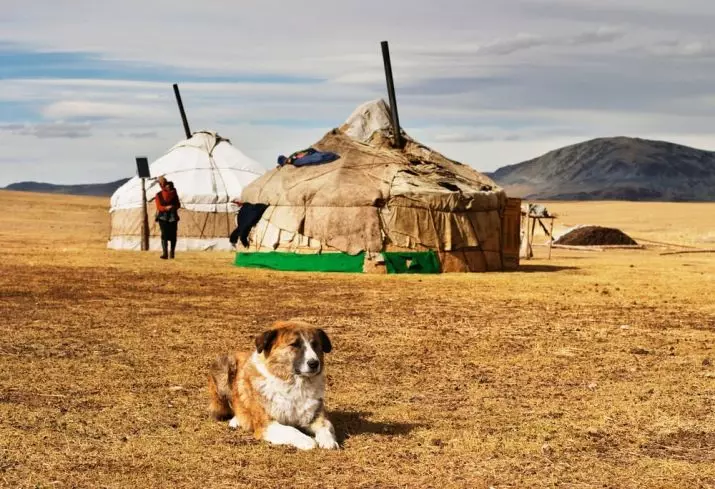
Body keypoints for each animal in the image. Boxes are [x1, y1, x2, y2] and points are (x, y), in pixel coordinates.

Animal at [208, 320, 340, 450]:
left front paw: (328, 440)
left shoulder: (315, 416)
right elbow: (291, 429)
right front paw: (307, 440)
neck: (293, 384)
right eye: (294, 344)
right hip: (225, 366)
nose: (314, 363)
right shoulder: (266, 424)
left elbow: (326, 426)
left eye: (315, 345)